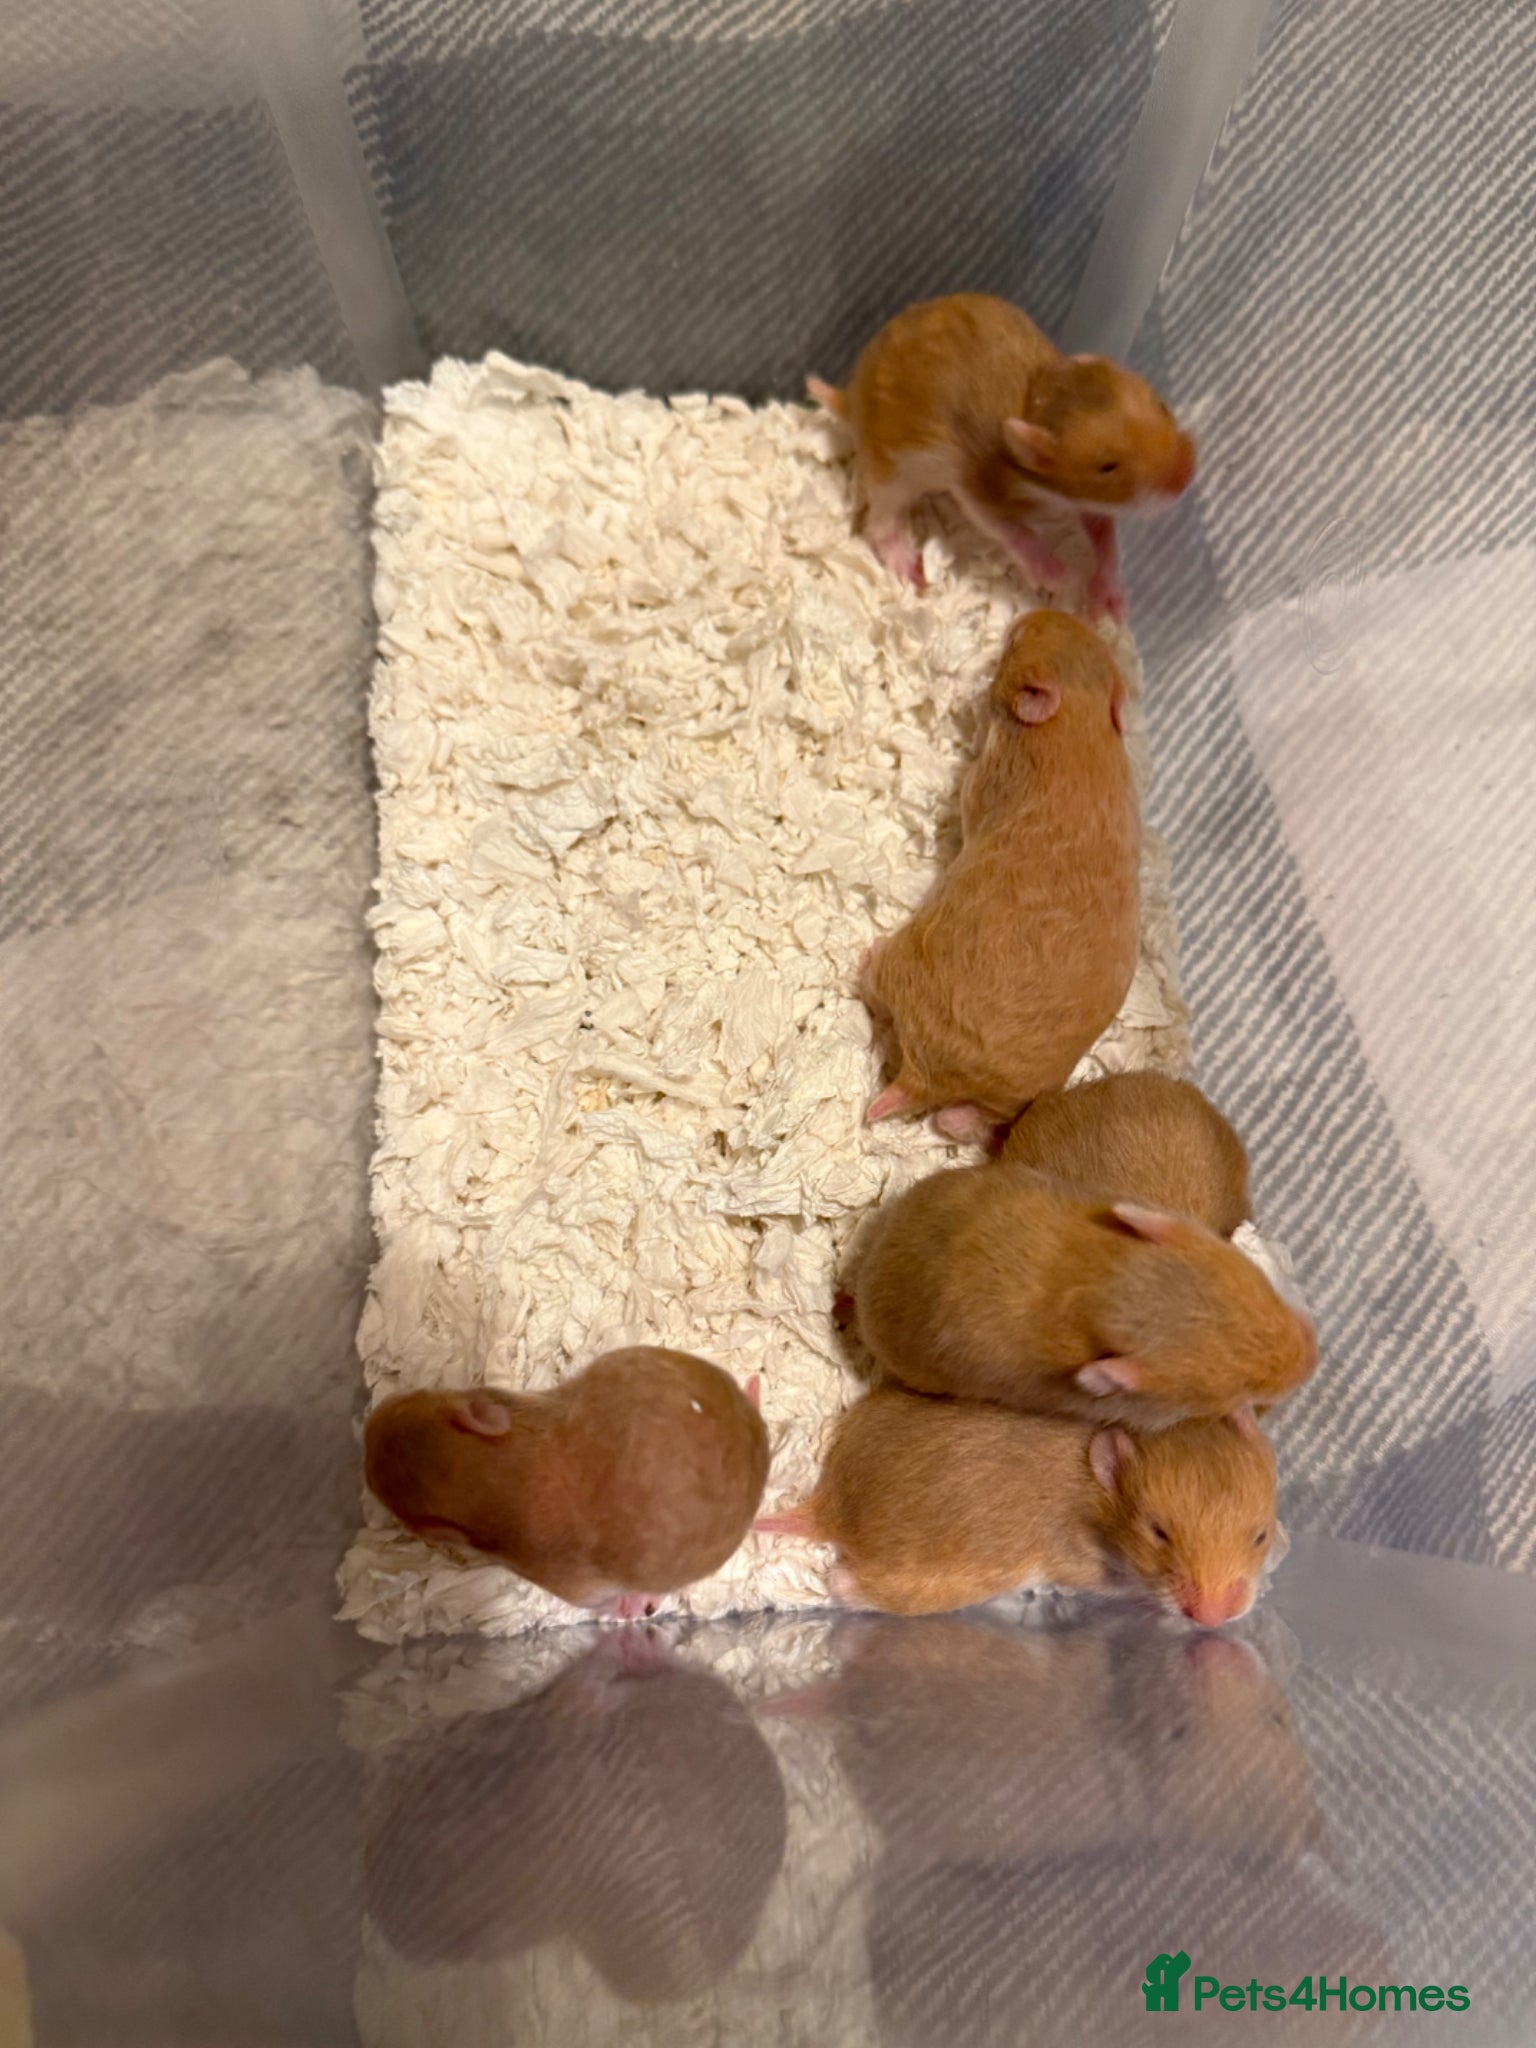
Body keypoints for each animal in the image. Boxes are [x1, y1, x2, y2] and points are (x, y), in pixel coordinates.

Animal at [757, 1388, 1281, 1623]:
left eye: (1261, 1536)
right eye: (1158, 1533)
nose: (1214, 1621)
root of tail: (829, 1507)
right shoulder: (1082, 1563)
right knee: (845, 1585)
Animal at [808, 292, 1195, 617]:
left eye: (1162, 405)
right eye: (1107, 466)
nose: (1187, 474)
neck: (1035, 397)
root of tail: (851, 399)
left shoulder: (1083, 500)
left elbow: (1105, 535)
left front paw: (1108, 595)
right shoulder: (976, 482)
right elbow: (1007, 527)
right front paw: (1055, 573)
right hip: (889, 472)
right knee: (883, 520)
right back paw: (906, 563)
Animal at [861, 610, 1139, 1137]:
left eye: (1016, 641)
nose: (1027, 614)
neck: (1080, 722)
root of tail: (924, 1077)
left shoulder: (986, 778)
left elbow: (969, 796)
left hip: (901, 969)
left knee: (877, 982)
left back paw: (865, 955)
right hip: (1011, 1100)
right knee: (965, 1120)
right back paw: (955, 1119)